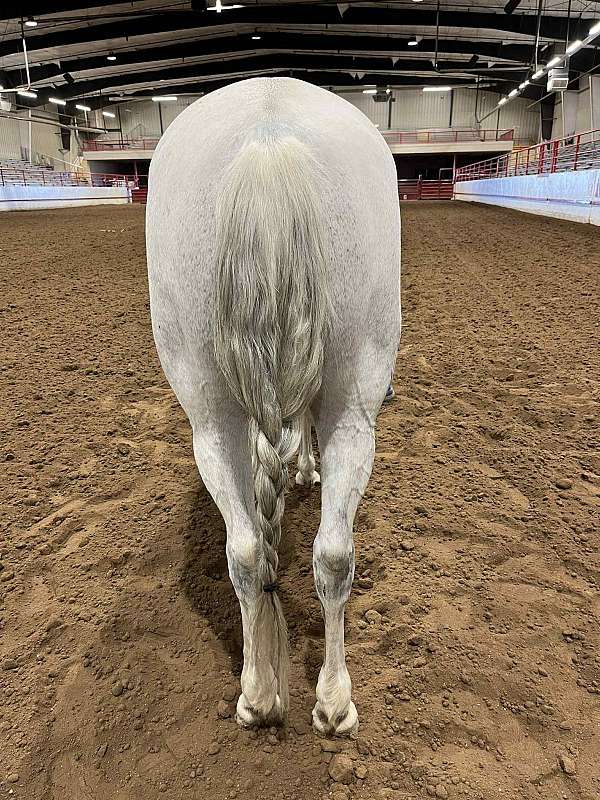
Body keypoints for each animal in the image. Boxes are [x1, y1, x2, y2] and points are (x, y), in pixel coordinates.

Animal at [146, 77, 401, 737]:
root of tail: (267, 139)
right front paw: (304, 468)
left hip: (211, 418)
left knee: (253, 554)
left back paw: (260, 696)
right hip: (355, 404)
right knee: (327, 553)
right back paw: (333, 702)